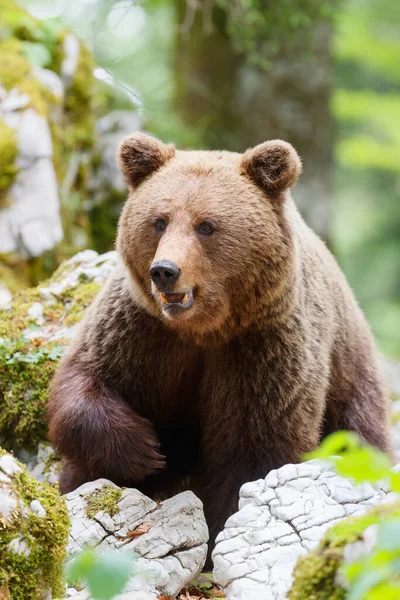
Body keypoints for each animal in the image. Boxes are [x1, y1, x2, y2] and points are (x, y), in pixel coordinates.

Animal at [47, 131, 390, 564]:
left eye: (206, 225)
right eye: (159, 221)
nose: (164, 271)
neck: (205, 329)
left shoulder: (262, 348)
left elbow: (254, 450)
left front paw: (217, 536)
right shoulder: (141, 331)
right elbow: (86, 379)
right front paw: (143, 448)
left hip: (351, 382)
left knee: (361, 436)